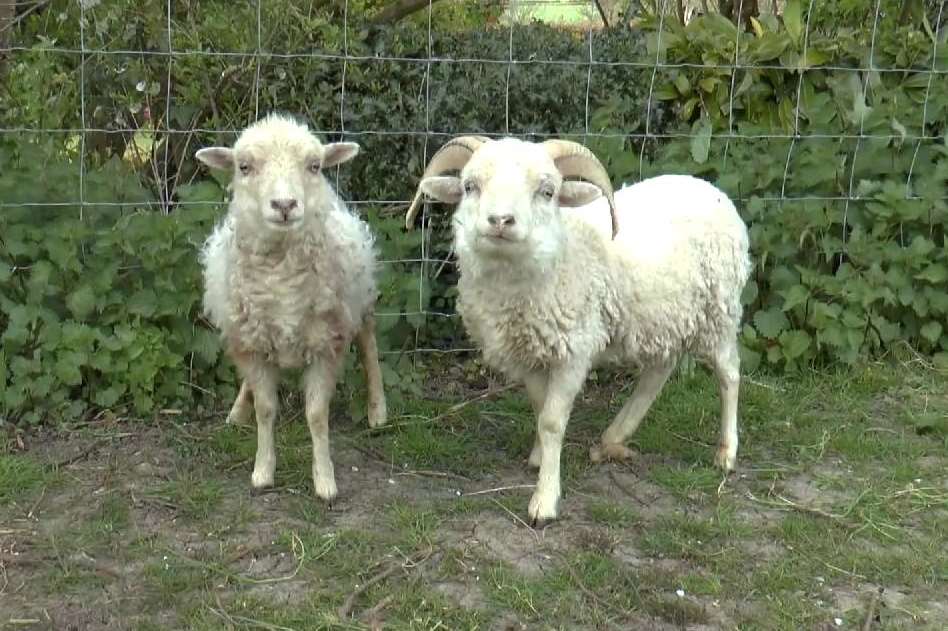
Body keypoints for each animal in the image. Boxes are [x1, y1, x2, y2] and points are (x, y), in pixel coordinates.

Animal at [196, 113, 388, 504]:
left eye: (314, 166)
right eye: (244, 166)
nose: (284, 205)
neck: (281, 281)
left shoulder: (326, 343)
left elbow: (316, 415)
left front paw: (325, 480)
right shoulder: (251, 344)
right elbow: (265, 410)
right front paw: (262, 471)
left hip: (359, 302)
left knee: (368, 344)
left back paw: (377, 409)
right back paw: (237, 410)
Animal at [404, 137, 752, 524]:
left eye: (547, 191)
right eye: (469, 186)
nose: (500, 221)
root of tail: (708, 187)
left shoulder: (576, 350)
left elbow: (552, 421)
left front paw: (545, 499)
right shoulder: (529, 353)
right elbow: (540, 408)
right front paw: (540, 458)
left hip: (720, 310)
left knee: (729, 374)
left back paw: (726, 453)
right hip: (663, 316)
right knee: (659, 370)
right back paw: (614, 438)